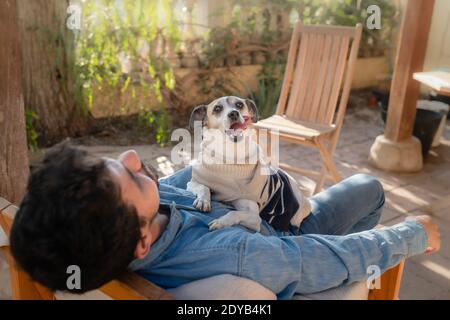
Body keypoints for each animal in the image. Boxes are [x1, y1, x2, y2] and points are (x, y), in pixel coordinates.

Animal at [186, 96, 310, 231]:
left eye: (239, 104)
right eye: (217, 108)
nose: (234, 113)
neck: (230, 156)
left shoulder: (255, 218)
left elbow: (234, 213)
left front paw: (221, 222)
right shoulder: (192, 182)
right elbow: (203, 187)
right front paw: (203, 201)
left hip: (296, 216)